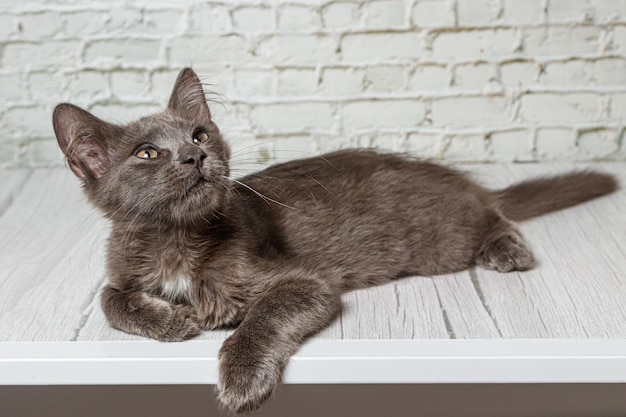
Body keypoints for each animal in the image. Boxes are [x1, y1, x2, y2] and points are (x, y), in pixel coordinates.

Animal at [52, 66, 616, 412]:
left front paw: (241, 378)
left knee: (492, 212)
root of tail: (451, 176)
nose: (196, 157)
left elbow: (262, 317)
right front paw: (171, 320)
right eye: (147, 153)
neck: (179, 242)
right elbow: (109, 299)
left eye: (198, 134)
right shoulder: (121, 268)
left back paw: (508, 247)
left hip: (443, 239)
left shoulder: (306, 282)